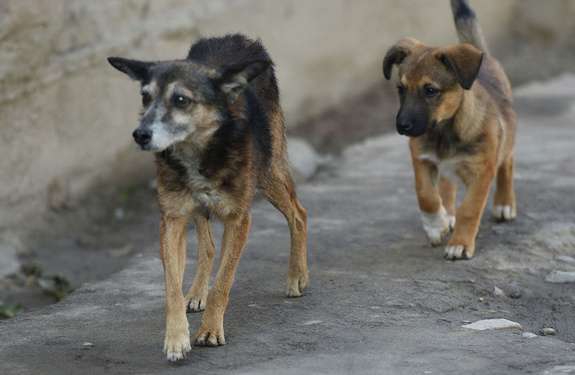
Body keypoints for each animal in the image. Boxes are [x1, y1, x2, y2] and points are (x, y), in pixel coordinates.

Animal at [106, 34, 308, 362]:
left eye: (181, 100)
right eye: (145, 97)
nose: (140, 134)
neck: (197, 152)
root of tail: (239, 38)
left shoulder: (239, 218)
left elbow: (223, 283)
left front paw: (210, 330)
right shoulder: (172, 219)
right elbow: (172, 287)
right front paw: (177, 338)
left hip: (268, 172)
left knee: (298, 213)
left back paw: (297, 276)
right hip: (200, 209)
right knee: (208, 247)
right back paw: (197, 292)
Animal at [384, 0, 516, 262]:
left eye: (430, 90)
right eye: (400, 89)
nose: (402, 126)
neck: (444, 132)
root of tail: (482, 55)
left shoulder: (482, 171)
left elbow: (470, 209)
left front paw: (460, 244)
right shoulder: (422, 160)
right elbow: (426, 195)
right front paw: (436, 225)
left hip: (507, 138)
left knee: (507, 163)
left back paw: (504, 203)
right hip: (445, 169)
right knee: (446, 187)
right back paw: (447, 214)